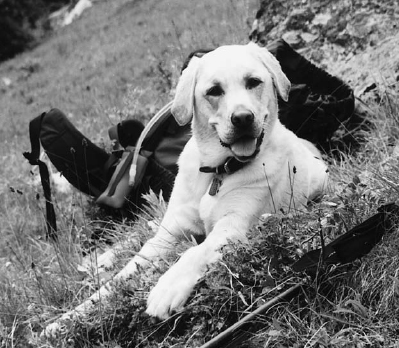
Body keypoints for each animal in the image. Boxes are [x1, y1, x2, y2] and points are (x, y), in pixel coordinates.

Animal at [43, 41, 328, 338]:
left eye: (253, 82)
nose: (243, 118)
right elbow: (120, 276)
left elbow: (195, 251)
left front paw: (167, 287)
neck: (217, 172)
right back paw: (100, 260)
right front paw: (68, 318)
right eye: (214, 91)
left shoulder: (233, 227)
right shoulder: (168, 234)